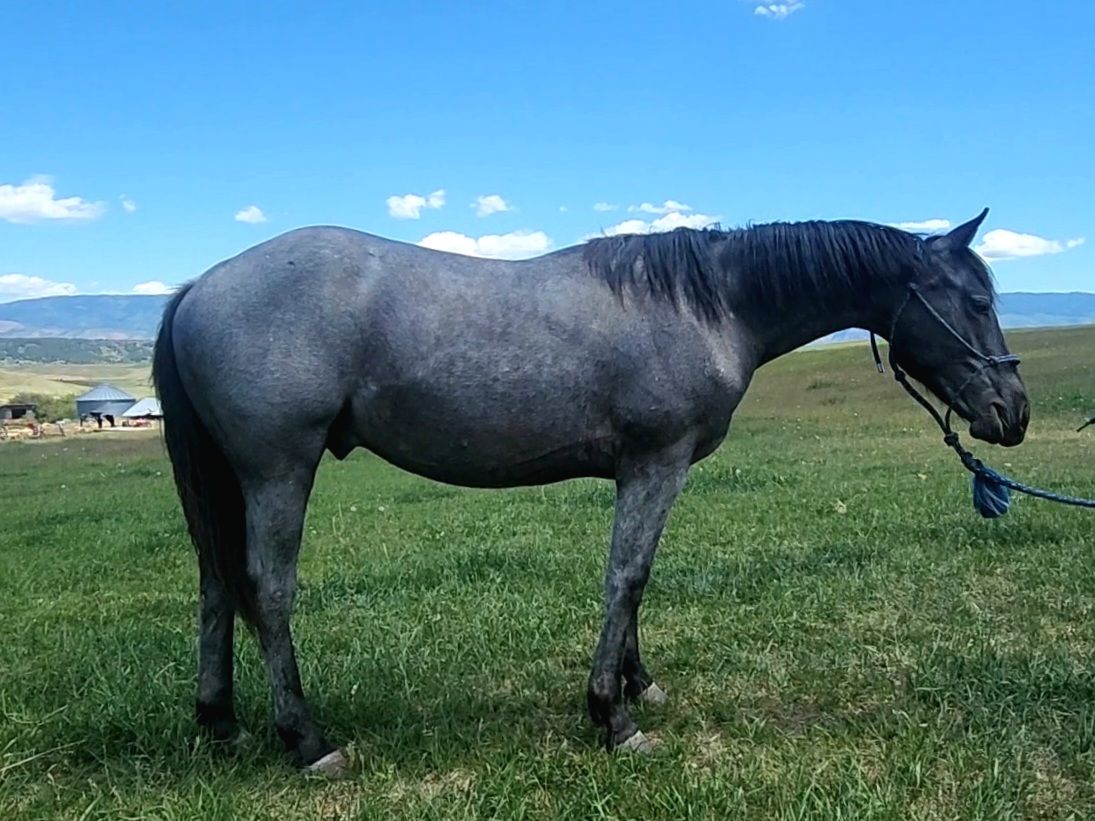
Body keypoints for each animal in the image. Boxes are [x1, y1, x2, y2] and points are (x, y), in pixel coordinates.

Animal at [152, 208, 1029, 776]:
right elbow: (627, 577)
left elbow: (635, 583)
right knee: (265, 589)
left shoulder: (643, 472)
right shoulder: (655, 464)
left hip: (231, 478)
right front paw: (613, 715)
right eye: (975, 301)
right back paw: (306, 740)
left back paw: (219, 720)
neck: (707, 304)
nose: (1013, 412)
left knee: (214, 584)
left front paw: (637, 684)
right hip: (278, 469)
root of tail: (199, 285)